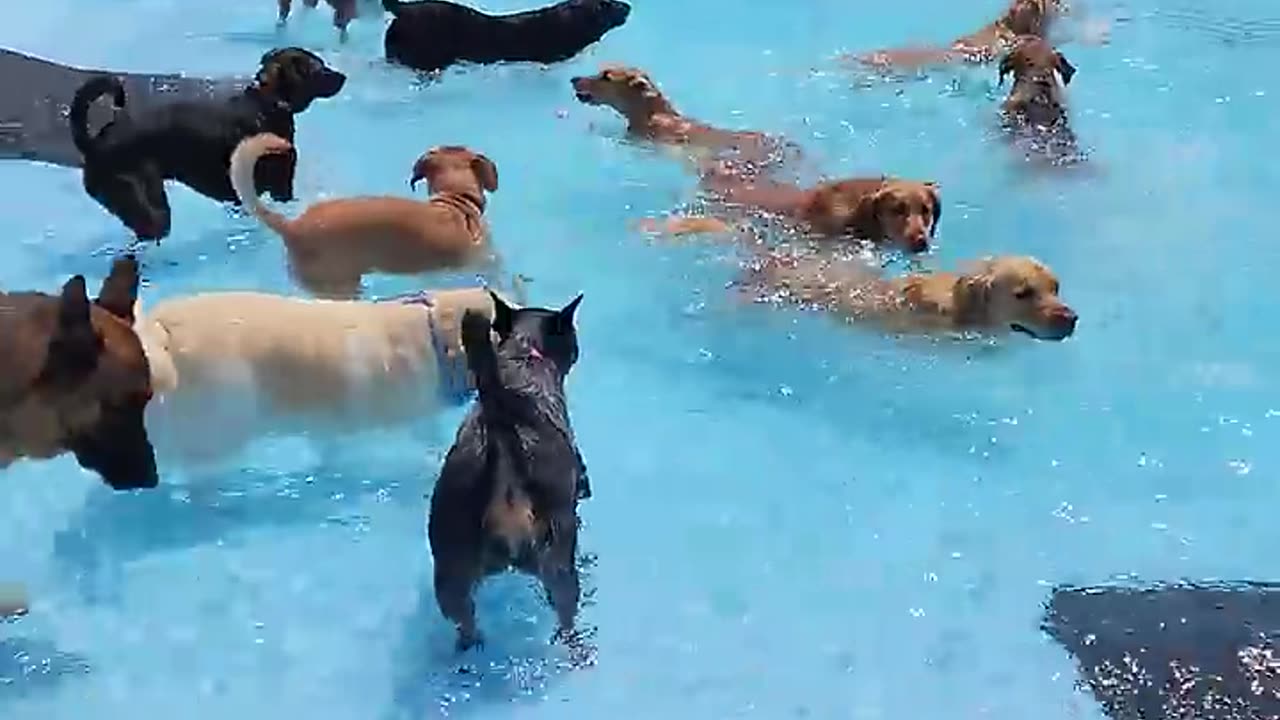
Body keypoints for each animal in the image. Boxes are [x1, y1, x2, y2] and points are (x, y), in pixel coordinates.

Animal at [66, 47, 343, 239]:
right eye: (319, 68)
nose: (343, 76)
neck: (267, 103)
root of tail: (95, 144)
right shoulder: (281, 187)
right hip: (149, 206)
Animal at [427, 288, 591, 661]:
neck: (524, 354)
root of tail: (500, 428)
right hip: (558, 562)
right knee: (566, 617)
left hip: (451, 566)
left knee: (463, 619)